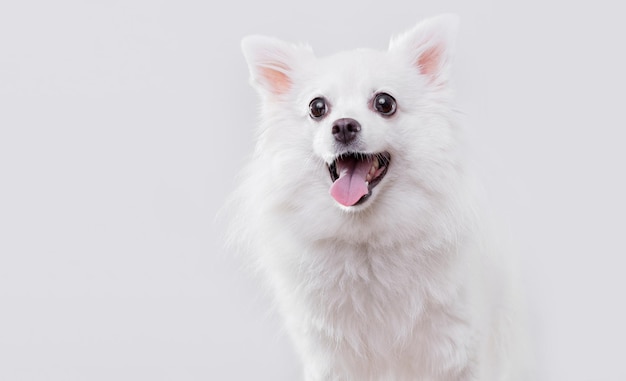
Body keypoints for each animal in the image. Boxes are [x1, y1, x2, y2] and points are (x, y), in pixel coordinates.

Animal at [229, 13, 528, 378]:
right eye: (317, 108)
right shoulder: (330, 358)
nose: (344, 125)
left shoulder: (459, 351)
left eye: (385, 103)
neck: (366, 242)